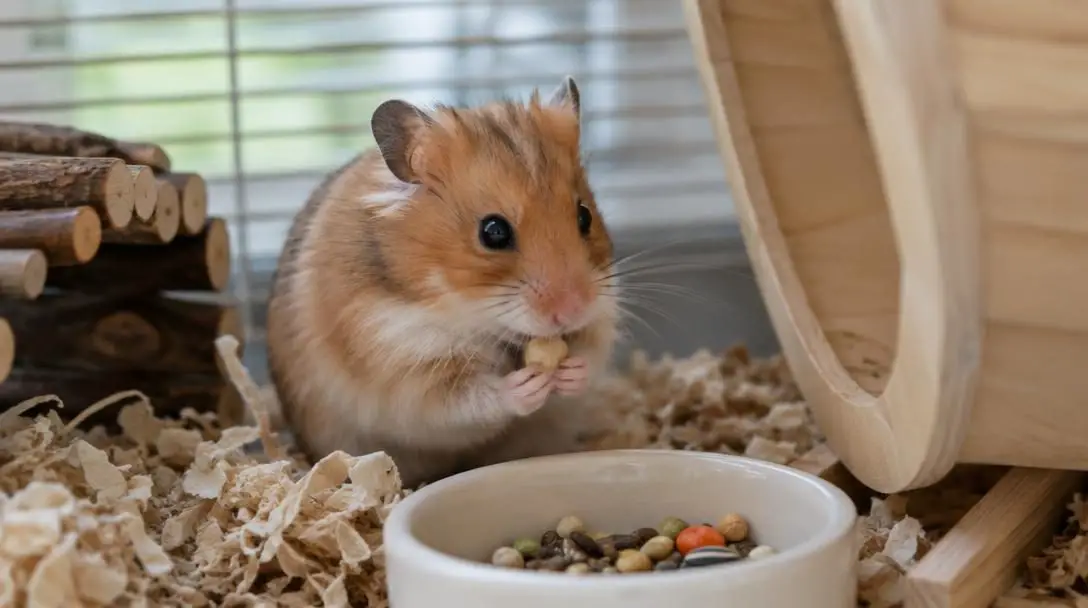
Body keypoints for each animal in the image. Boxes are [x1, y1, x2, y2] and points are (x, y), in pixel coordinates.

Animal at [266, 77, 619, 488]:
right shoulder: (405, 365)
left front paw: (571, 371)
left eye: (584, 216)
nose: (573, 309)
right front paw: (525, 385)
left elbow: (589, 354)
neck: (471, 315)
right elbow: (469, 400)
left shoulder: (600, 318)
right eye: (493, 231)